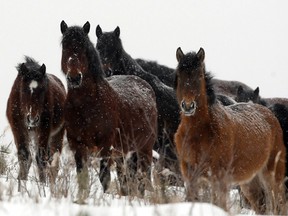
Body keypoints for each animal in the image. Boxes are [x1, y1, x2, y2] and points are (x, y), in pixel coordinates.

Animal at [6, 57, 66, 187]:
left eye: (43, 89)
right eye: (24, 89)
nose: (32, 119)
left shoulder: (44, 130)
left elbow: (41, 158)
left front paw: (43, 185)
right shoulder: (18, 128)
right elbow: (24, 156)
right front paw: (21, 182)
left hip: (56, 134)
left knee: (53, 161)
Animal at [60, 20, 158, 199]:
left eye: (84, 47)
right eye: (65, 46)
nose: (74, 77)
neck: (87, 106)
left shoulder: (106, 146)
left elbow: (104, 177)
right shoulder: (78, 145)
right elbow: (83, 177)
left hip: (145, 149)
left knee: (144, 177)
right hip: (123, 153)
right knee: (126, 178)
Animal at [173, 46, 286, 213]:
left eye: (199, 75)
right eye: (179, 75)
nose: (188, 106)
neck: (199, 133)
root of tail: (270, 115)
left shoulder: (219, 179)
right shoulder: (190, 176)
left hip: (273, 175)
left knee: (281, 204)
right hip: (250, 183)